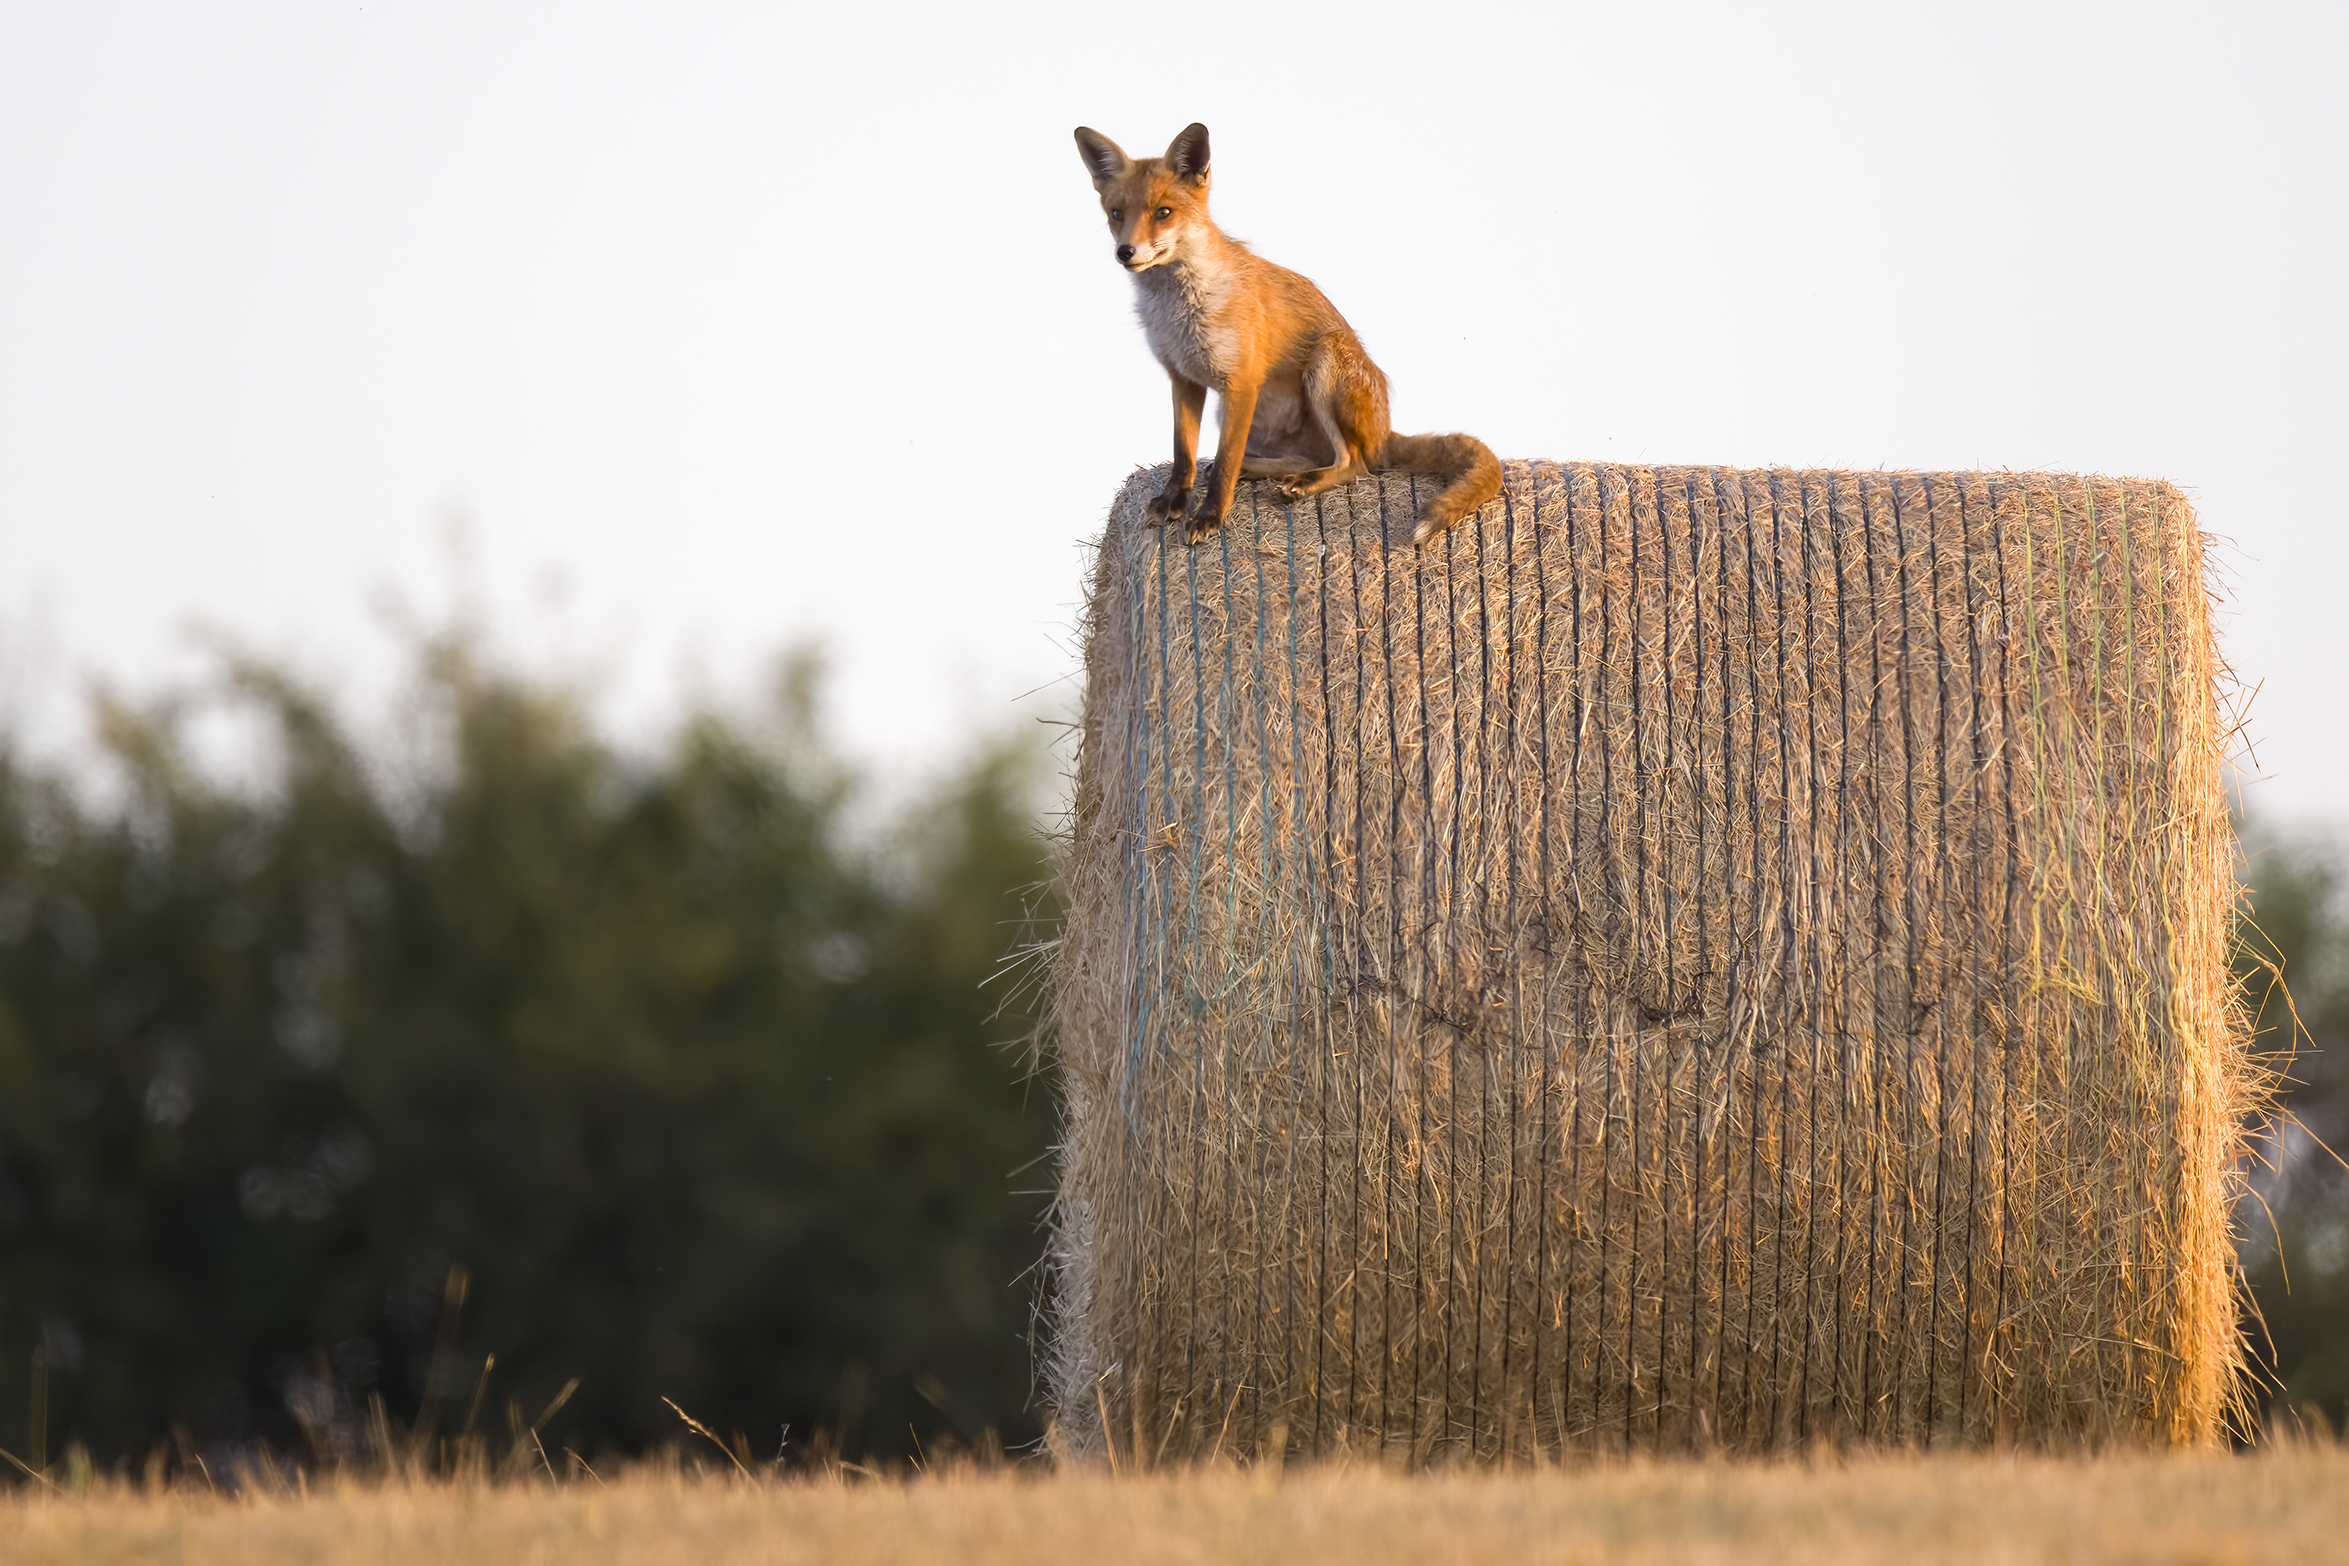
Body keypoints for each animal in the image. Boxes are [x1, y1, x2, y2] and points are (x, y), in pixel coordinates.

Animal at [1074, 121, 1502, 547]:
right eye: (1116, 213)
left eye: (1163, 213)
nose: (1125, 252)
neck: (1180, 311)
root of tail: (1385, 431)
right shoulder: (1183, 378)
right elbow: (1183, 456)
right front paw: (1175, 500)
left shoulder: (1241, 382)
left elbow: (1225, 461)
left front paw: (1210, 516)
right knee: (1308, 458)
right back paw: (1261, 470)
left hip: (1324, 363)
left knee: (1355, 462)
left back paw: (1305, 482)